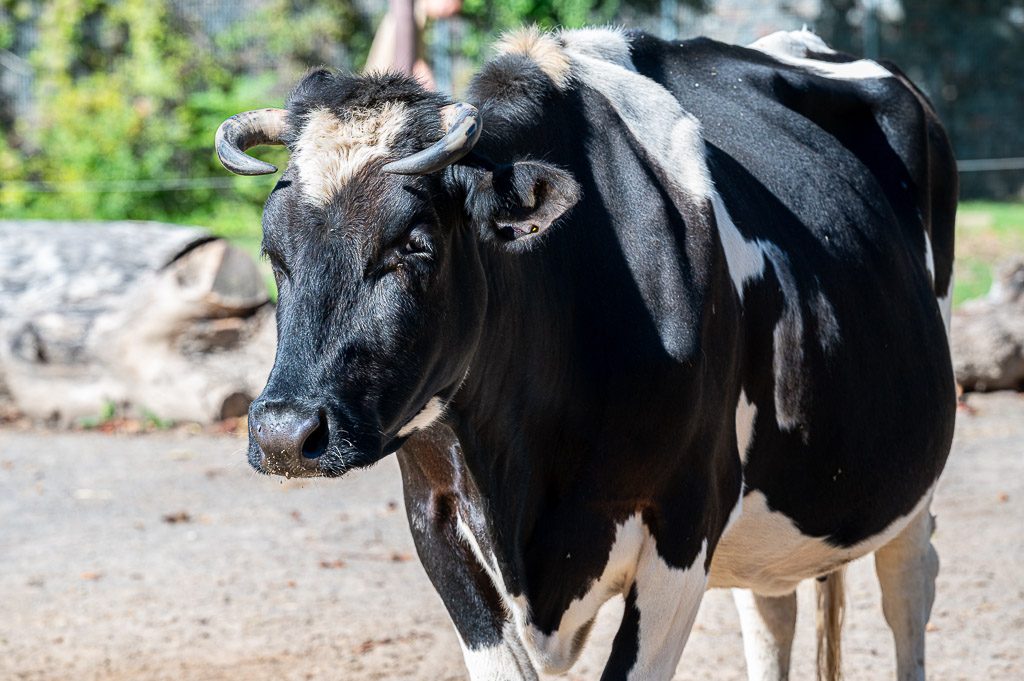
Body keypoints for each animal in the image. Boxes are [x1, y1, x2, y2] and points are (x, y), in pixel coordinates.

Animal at [214, 27, 956, 681]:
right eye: (273, 250)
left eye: (414, 244)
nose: (284, 434)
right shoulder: (438, 521)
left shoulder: (685, 523)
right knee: (772, 612)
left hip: (911, 484)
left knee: (909, 594)